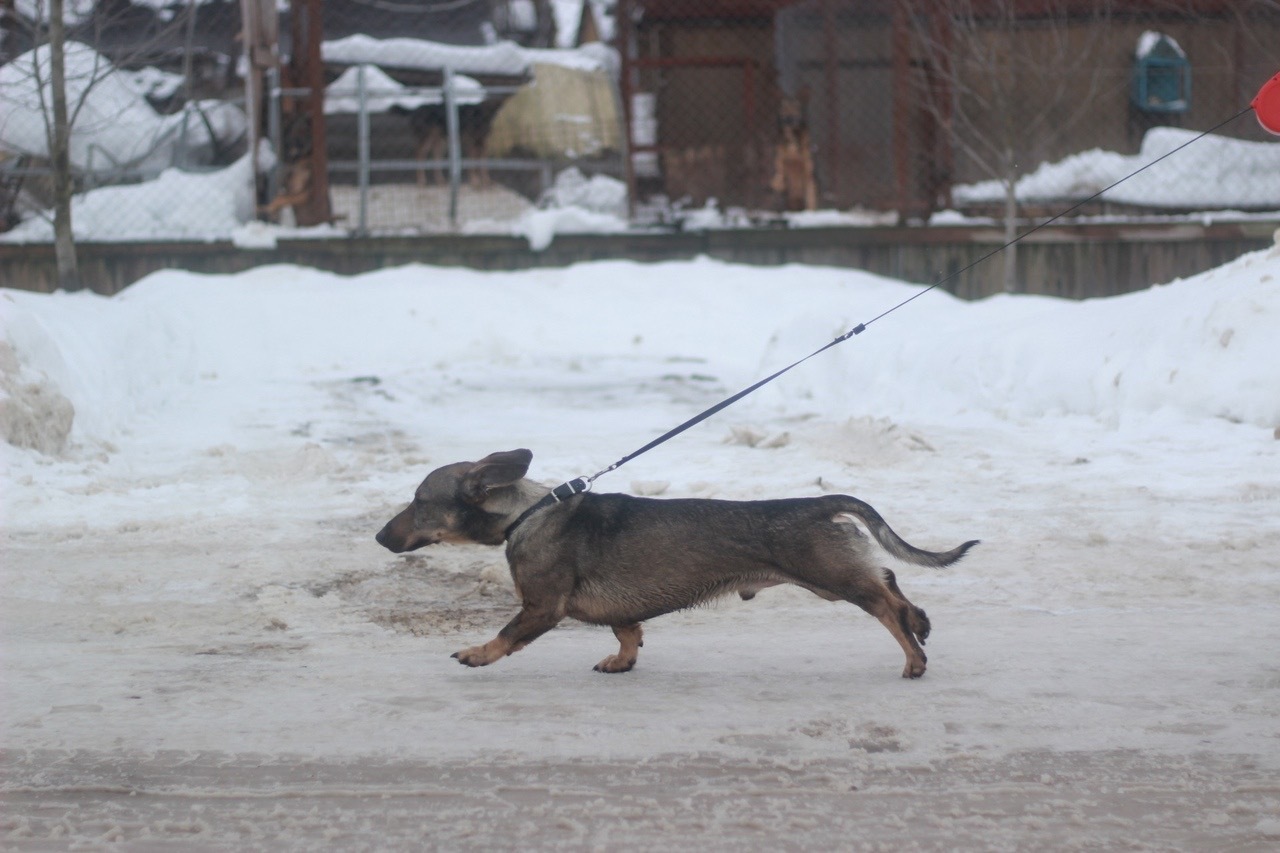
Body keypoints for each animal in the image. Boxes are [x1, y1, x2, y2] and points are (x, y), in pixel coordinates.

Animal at [373, 448, 972, 676]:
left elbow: (506, 634)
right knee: (891, 580)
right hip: (836, 576)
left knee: (888, 604)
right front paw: (621, 661)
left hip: (833, 577)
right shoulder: (617, 610)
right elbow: (628, 633)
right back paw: (921, 624)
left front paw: (476, 653)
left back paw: (914, 655)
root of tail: (821, 503)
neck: (528, 514)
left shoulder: (542, 606)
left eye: (419, 502)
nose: (379, 537)